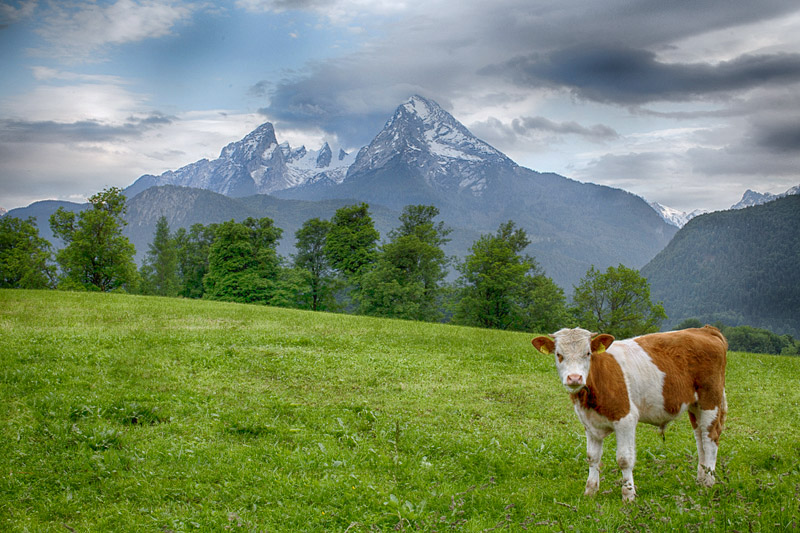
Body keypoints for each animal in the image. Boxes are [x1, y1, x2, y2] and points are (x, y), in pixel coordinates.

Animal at [536, 324, 728, 498]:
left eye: (588, 353)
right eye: (559, 355)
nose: (574, 378)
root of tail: (705, 329)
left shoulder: (625, 418)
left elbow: (624, 459)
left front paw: (628, 495)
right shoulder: (589, 423)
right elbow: (593, 457)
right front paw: (590, 491)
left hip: (710, 400)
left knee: (710, 438)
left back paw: (709, 483)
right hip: (695, 406)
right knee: (700, 438)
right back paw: (700, 479)